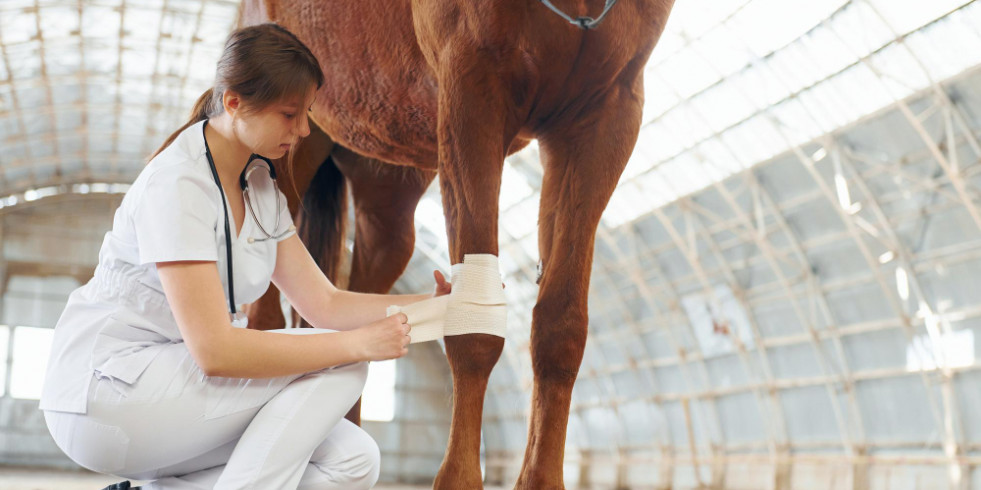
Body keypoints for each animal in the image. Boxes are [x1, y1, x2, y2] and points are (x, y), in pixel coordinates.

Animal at [241, 0, 676, 486]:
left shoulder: (603, 115)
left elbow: (559, 326)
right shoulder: (472, 87)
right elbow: (475, 330)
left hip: (385, 180)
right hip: (293, 144)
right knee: (264, 311)